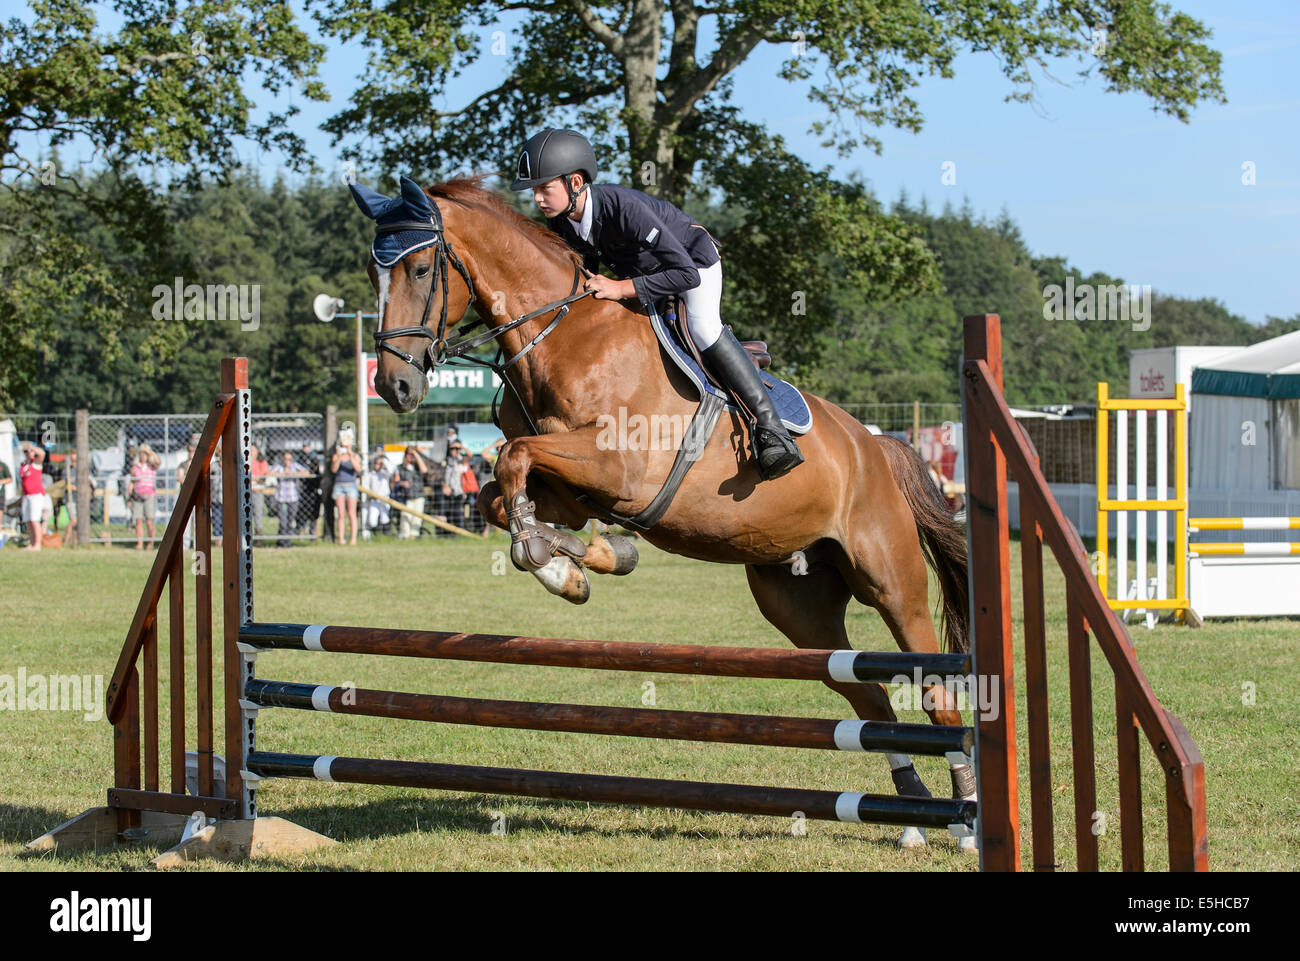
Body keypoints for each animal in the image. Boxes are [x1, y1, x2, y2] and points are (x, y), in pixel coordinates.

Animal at [353, 174, 977, 847]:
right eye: (372, 273)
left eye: (419, 269)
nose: (394, 388)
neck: (560, 333)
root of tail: (876, 446)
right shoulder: (571, 490)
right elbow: (501, 492)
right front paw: (579, 562)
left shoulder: (617, 468)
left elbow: (511, 459)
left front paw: (555, 564)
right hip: (798, 603)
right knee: (868, 699)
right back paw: (913, 812)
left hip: (890, 581)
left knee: (933, 688)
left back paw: (965, 816)